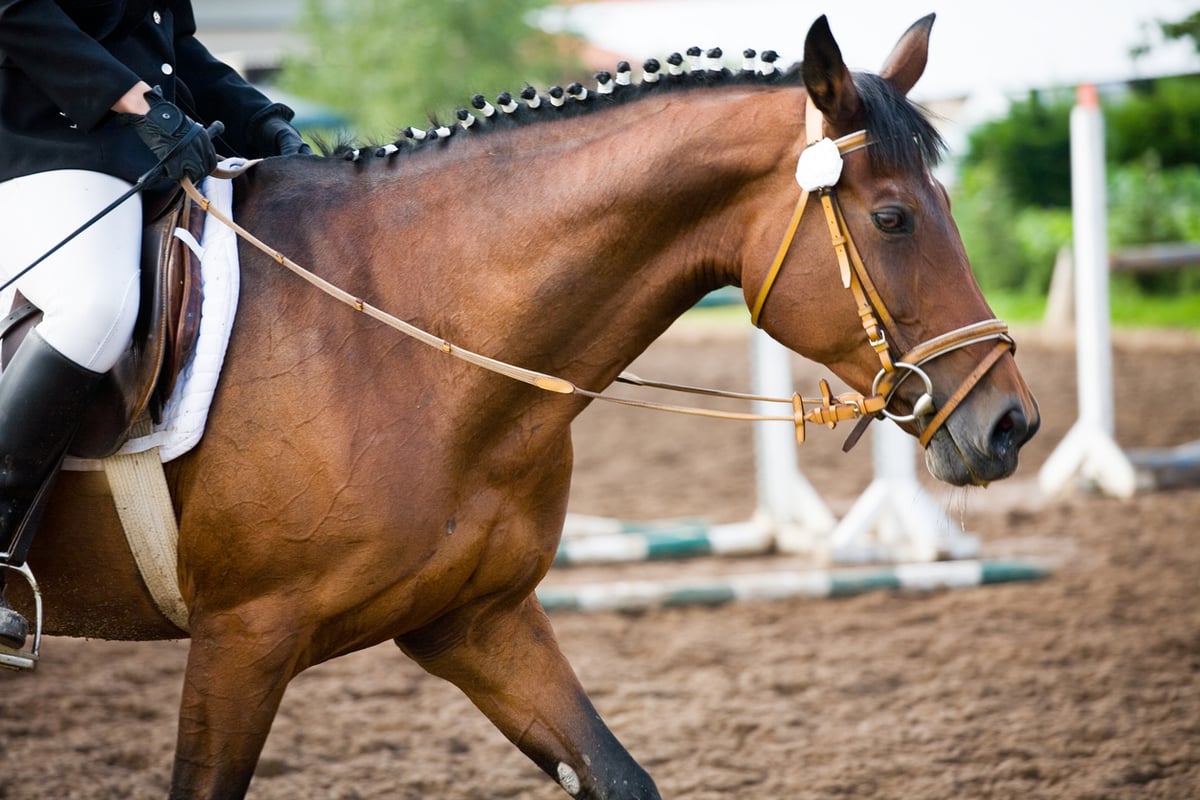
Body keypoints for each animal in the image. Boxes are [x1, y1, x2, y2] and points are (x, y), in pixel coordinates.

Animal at [4, 12, 1036, 800]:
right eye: (893, 218)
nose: (1011, 424)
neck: (402, 333)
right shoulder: (242, 639)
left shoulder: (479, 621)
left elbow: (620, 777)